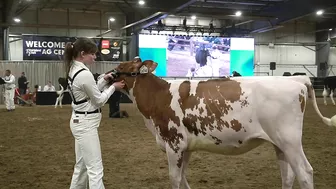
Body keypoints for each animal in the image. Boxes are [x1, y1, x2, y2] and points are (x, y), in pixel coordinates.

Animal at [107, 57, 336, 189]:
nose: (106, 76)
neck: (159, 96)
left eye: (120, 67)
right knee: (288, 176)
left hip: (290, 140)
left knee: (305, 173)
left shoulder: (174, 144)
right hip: (279, 144)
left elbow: (174, 178)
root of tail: (296, 80)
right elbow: (183, 178)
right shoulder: (186, 147)